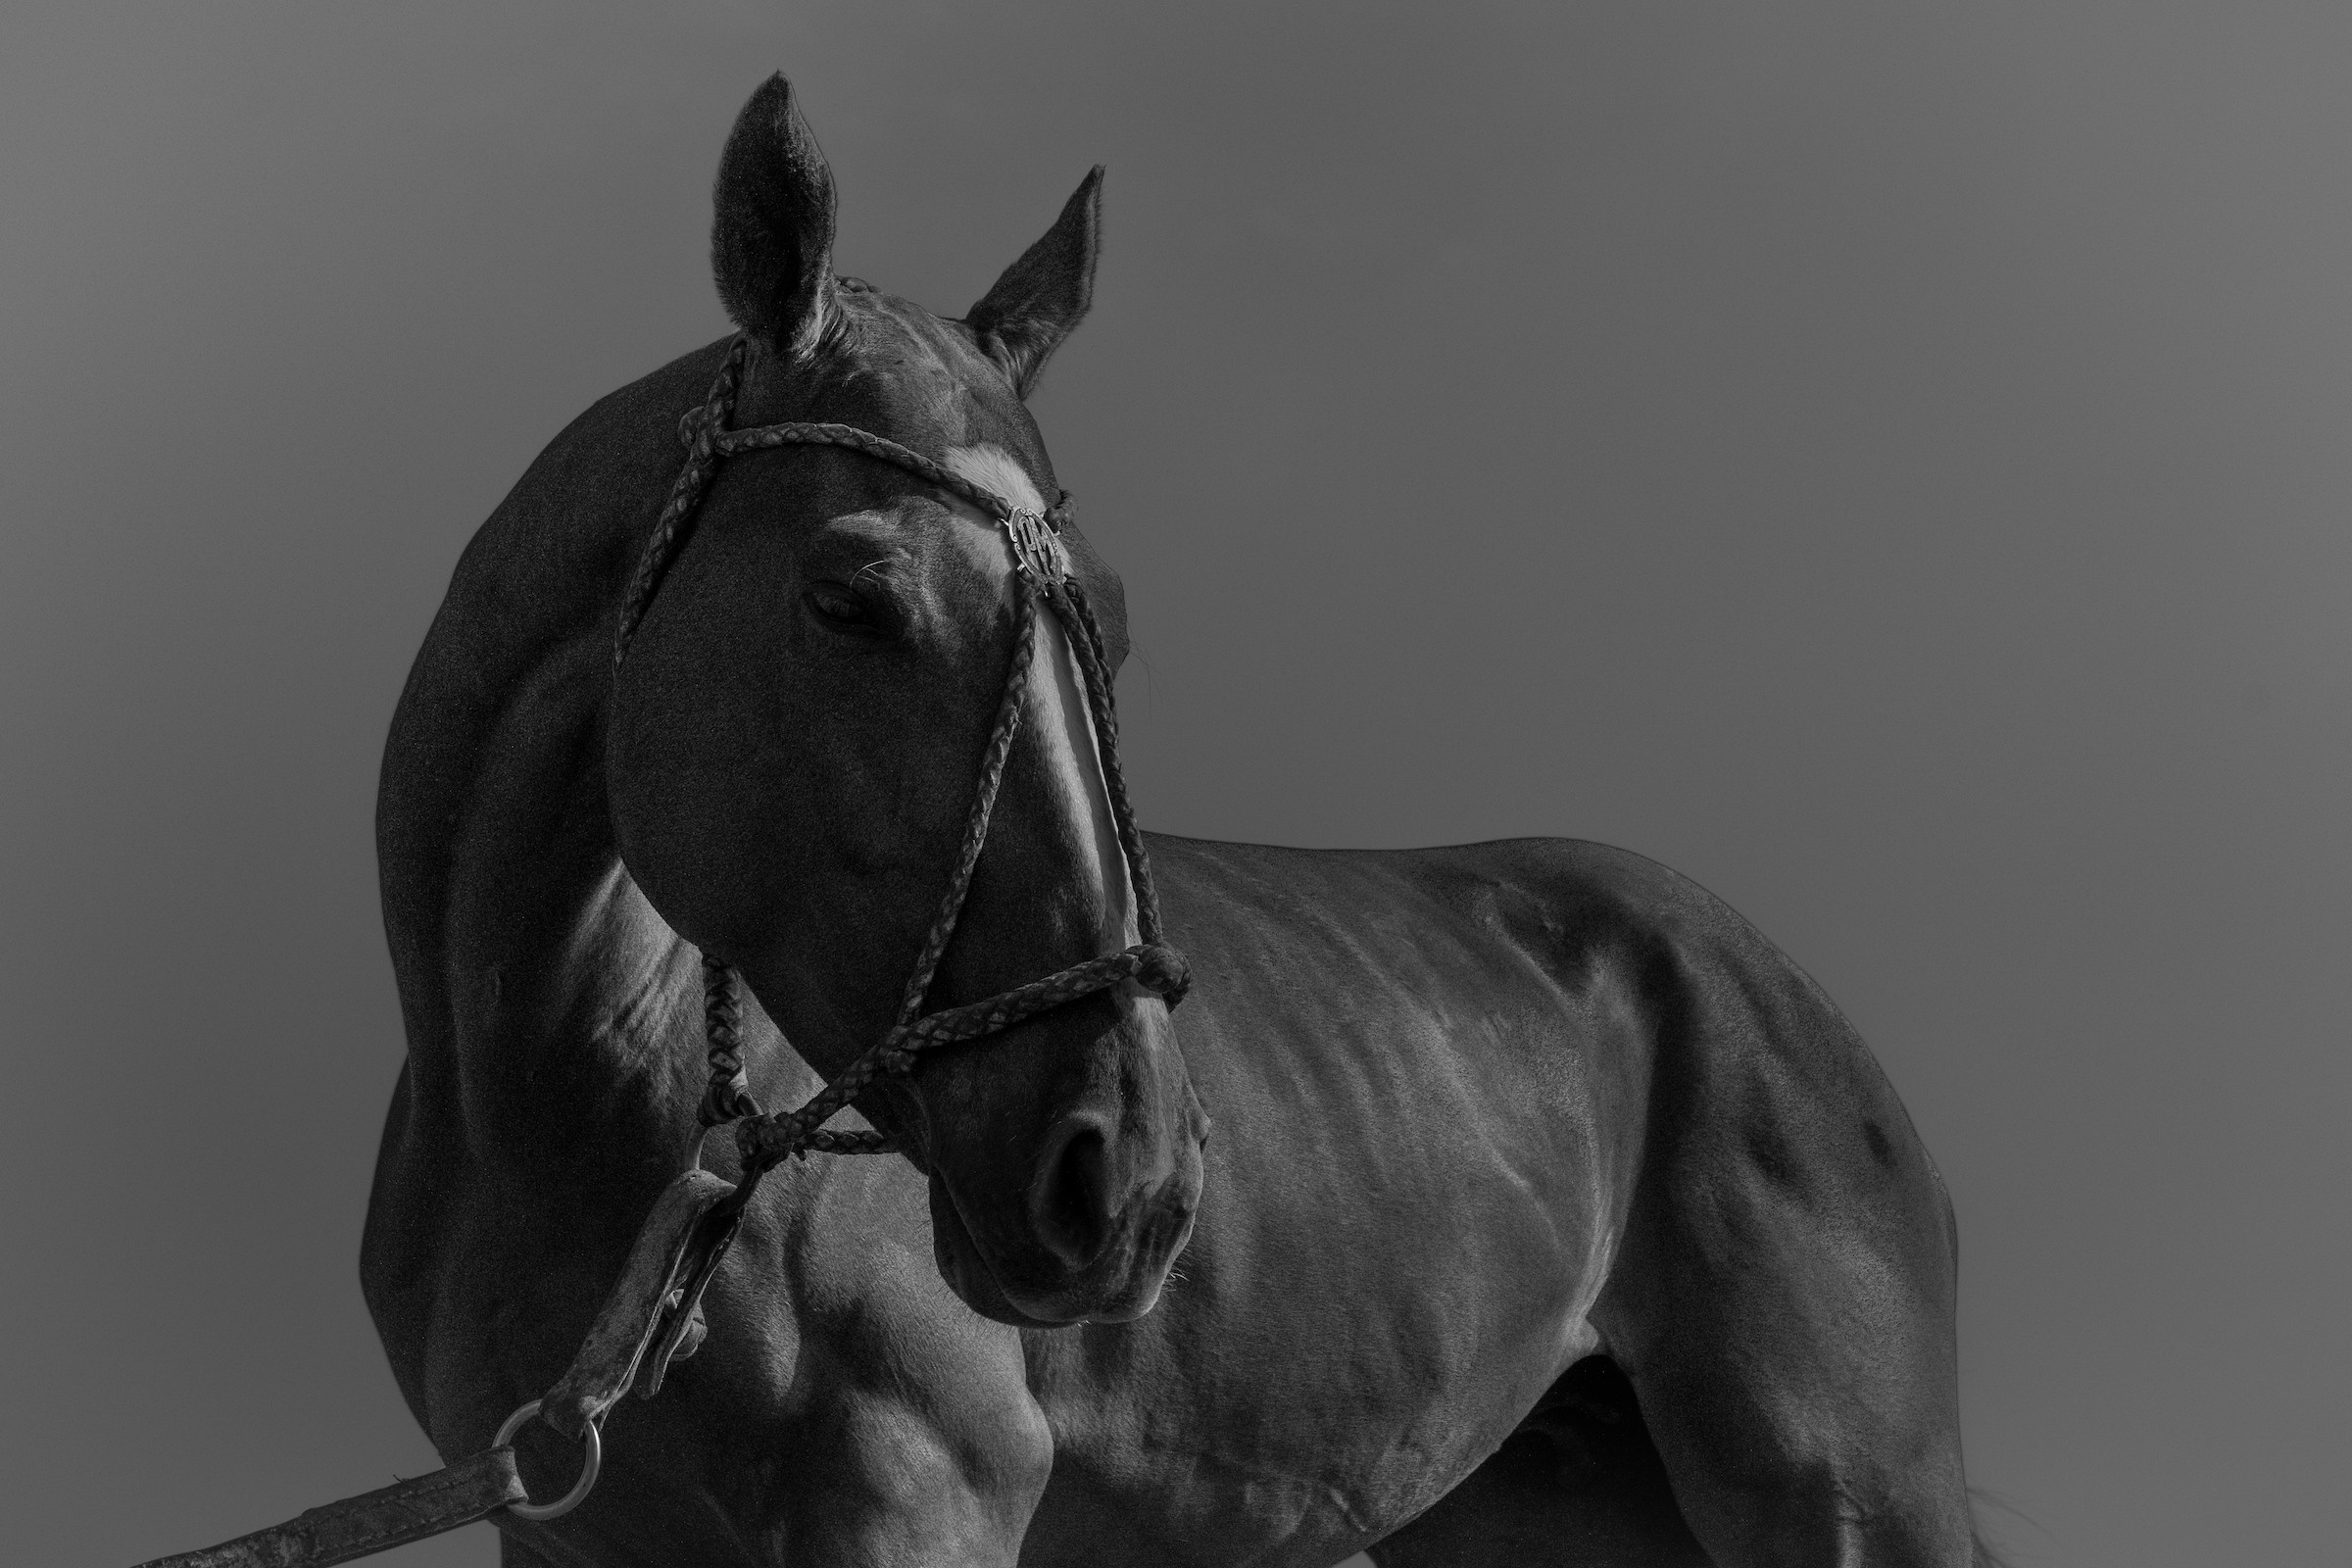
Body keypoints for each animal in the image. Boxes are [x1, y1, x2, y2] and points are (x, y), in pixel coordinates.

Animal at [362, 73, 1998, 1567]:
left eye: (1115, 628)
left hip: (1843, 1503)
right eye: (849, 600)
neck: (558, 1106)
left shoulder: (912, 1495)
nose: (1133, 1178)